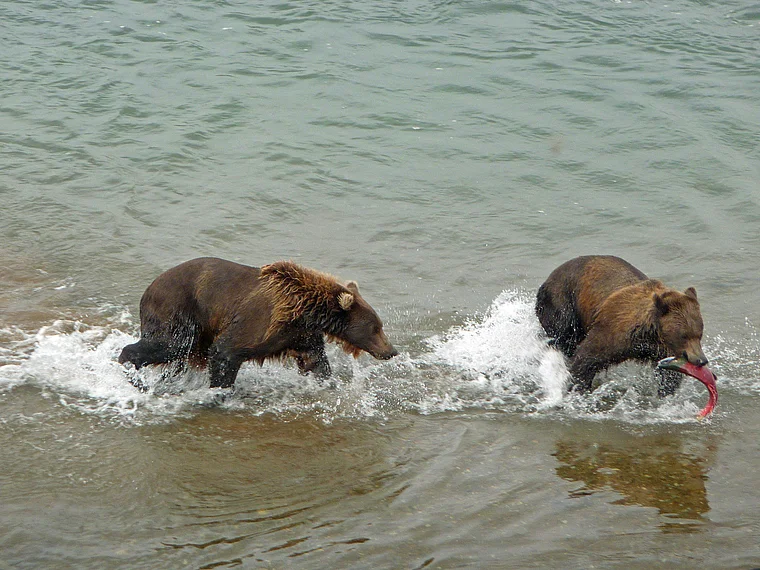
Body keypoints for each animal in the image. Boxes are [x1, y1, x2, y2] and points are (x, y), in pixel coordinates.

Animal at [118, 257, 398, 388]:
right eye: (376, 327)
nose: (392, 351)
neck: (305, 310)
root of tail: (149, 288)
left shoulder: (300, 334)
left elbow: (315, 361)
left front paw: (328, 383)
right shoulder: (262, 323)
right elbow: (225, 351)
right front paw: (219, 390)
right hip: (178, 309)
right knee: (169, 345)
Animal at [535, 255, 708, 396]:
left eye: (699, 334)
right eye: (684, 335)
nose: (701, 360)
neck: (648, 334)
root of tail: (549, 278)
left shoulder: (660, 349)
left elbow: (670, 376)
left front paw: (665, 393)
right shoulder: (612, 332)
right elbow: (585, 359)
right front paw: (578, 388)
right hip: (563, 304)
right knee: (564, 339)